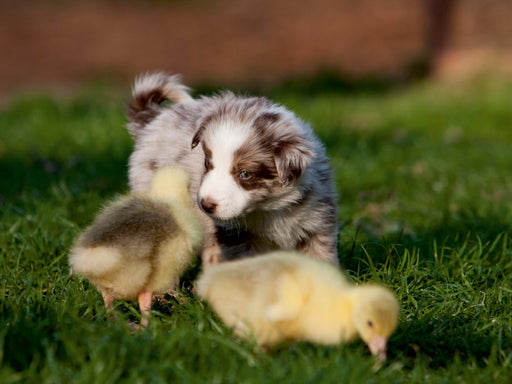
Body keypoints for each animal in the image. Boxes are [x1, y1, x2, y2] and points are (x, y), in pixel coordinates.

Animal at [126, 73, 338, 268]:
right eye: (207, 163)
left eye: (245, 174)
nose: (206, 205)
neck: (270, 208)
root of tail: (153, 119)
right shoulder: (234, 237)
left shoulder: (317, 225)